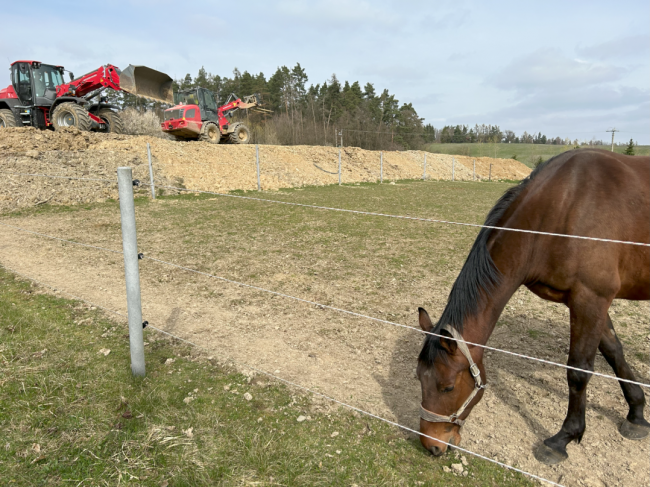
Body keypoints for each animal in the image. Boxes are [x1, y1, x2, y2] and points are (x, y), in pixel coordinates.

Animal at [416, 149, 648, 466]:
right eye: (419, 378)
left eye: (447, 387)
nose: (431, 445)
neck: (565, 206)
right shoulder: (589, 302)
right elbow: (614, 353)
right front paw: (636, 413)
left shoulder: (591, 298)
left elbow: (578, 371)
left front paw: (563, 438)